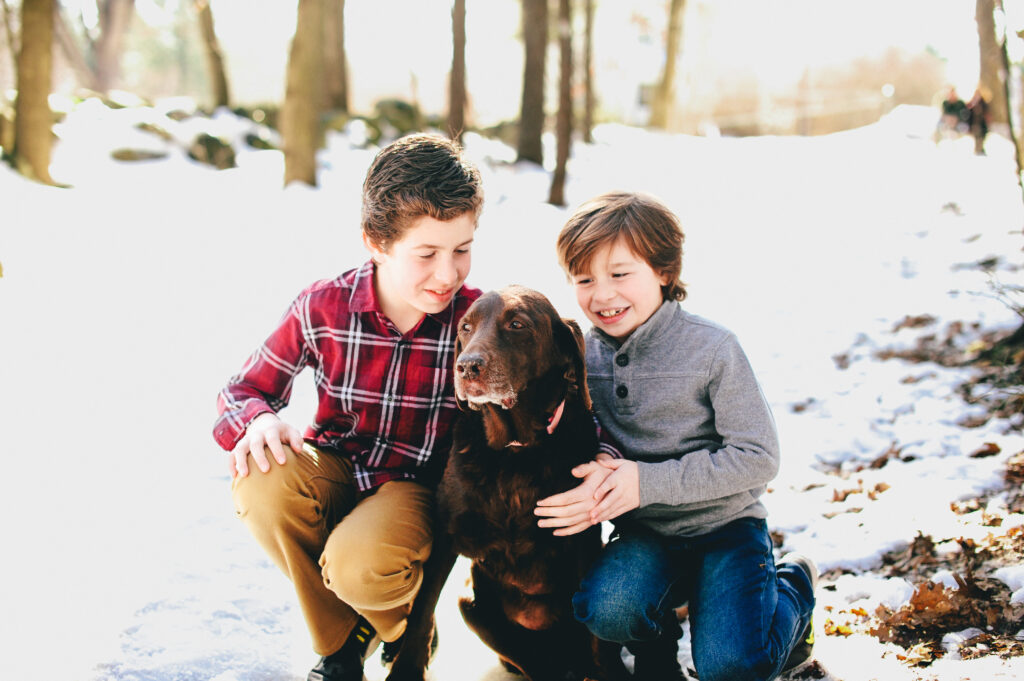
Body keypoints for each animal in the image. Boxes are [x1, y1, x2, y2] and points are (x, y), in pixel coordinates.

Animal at [387, 284, 626, 675]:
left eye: (517, 324)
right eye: (465, 327)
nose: (466, 366)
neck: (516, 449)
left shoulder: (582, 539)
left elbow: (597, 638)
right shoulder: (448, 534)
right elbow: (422, 610)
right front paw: (405, 668)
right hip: (469, 601)